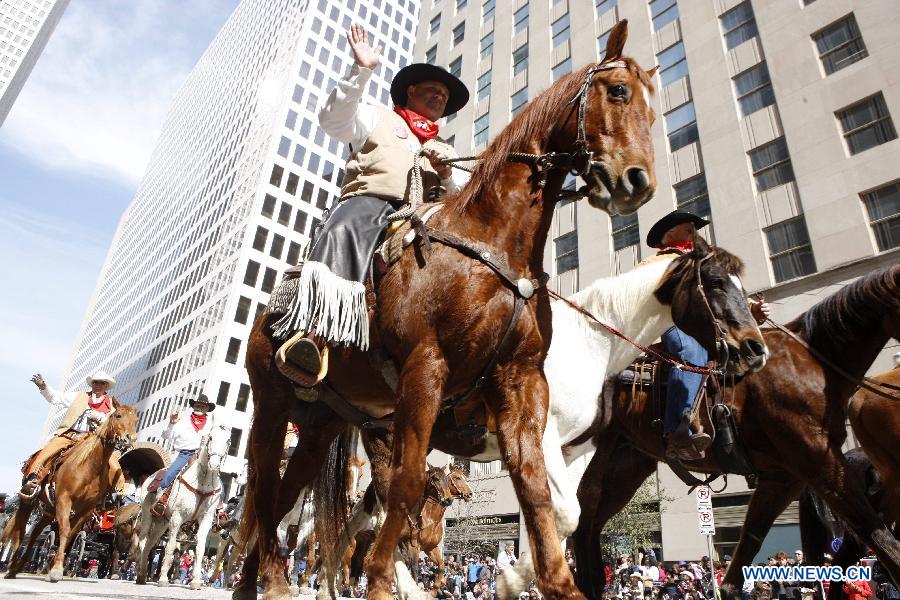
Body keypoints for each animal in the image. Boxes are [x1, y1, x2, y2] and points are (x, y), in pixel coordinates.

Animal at [2, 404, 136, 580]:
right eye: (118, 415)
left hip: (49, 510)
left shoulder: (85, 510)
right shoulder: (64, 499)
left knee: (35, 533)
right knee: (21, 530)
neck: (89, 467)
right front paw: (57, 568)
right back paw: (11, 568)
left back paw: (20, 566)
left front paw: (55, 566)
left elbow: (71, 535)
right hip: (29, 500)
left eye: (136, 420)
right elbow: (65, 530)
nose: (130, 439)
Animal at [135, 424, 232, 588]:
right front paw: (163, 579)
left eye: (228, 441)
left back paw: (142, 575)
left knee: (150, 544)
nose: (214, 464)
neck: (202, 482)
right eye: (210, 437)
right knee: (143, 542)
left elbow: (200, 547)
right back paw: (141, 574)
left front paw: (196, 581)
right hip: (148, 515)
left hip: (162, 522)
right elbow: (170, 546)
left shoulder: (205, 519)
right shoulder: (177, 517)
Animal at [234, 19, 652, 600]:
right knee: (265, 488)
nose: (638, 181)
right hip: (272, 405)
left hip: (320, 423)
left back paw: (259, 581)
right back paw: (273, 579)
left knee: (282, 495)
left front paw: (553, 584)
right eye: (617, 92)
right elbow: (407, 483)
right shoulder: (425, 370)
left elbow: (535, 489)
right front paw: (382, 581)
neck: (494, 245)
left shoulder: (520, 380)